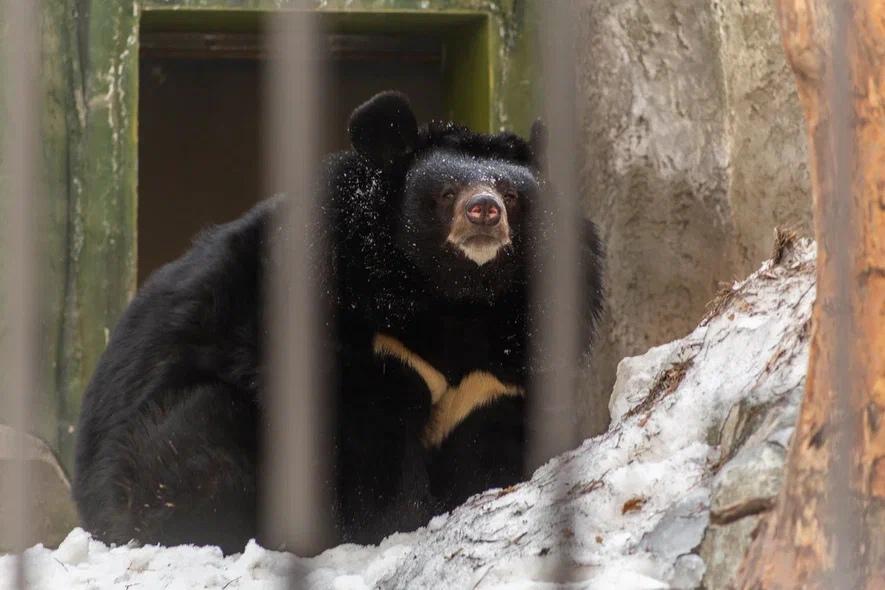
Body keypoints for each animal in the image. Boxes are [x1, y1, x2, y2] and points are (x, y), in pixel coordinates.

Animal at [72, 91, 604, 556]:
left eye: (512, 195)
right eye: (445, 193)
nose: (484, 212)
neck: (457, 300)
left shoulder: (502, 372)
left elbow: (490, 444)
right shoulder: (362, 342)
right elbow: (370, 452)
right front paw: (395, 527)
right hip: (170, 437)